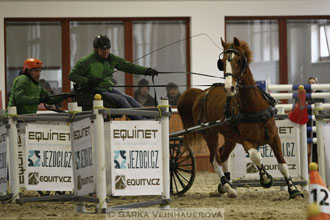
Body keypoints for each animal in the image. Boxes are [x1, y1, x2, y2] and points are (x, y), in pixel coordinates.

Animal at [179, 37, 302, 199]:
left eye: (238, 61)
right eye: (222, 62)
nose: (229, 88)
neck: (255, 108)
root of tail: (201, 93)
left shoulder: (274, 137)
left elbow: (283, 165)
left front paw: (294, 190)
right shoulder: (245, 141)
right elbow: (256, 156)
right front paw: (265, 179)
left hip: (230, 137)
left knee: (223, 155)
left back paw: (226, 184)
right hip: (210, 134)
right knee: (215, 159)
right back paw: (228, 187)